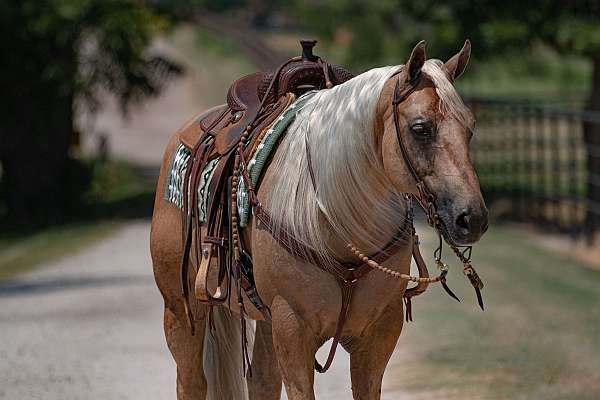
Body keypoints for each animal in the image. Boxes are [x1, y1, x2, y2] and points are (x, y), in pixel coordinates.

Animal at [150, 39, 488, 398]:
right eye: (420, 128)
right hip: (180, 309)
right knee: (191, 381)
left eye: (470, 127)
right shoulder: (292, 329)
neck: (337, 224)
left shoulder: (379, 332)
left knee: (262, 381)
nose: (472, 218)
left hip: (264, 319)